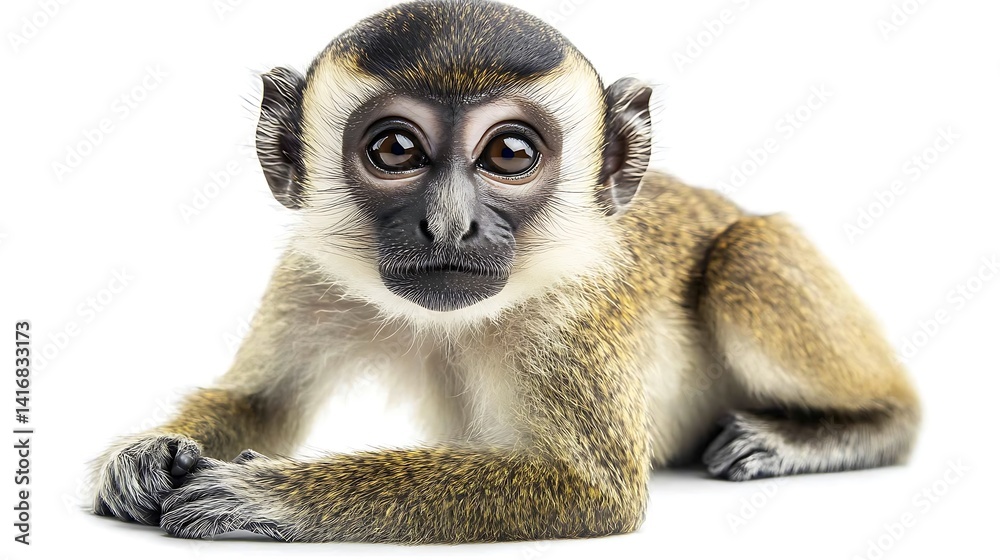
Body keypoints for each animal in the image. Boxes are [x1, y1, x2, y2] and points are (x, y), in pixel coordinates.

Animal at [89, 0, 920, 543]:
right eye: (395, 149)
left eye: (510, 154)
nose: (450, 222)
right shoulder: (311, 276)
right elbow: (262, 400)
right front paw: (148, 452)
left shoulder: (573, 317)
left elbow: (593, 491)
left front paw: (269, 496)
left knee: (746, 255)